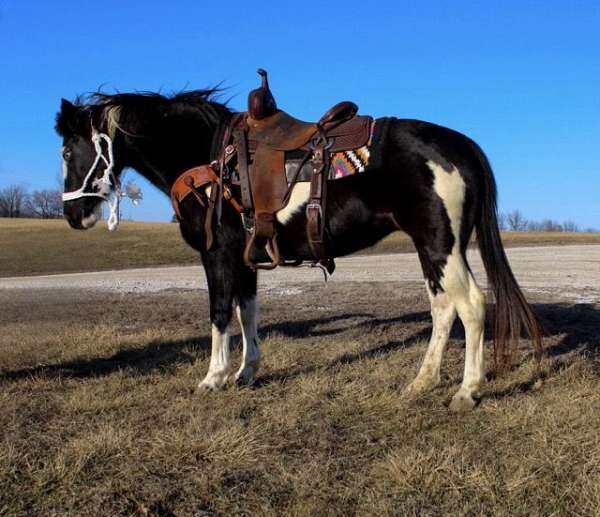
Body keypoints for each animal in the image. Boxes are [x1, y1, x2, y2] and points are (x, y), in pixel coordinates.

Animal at [57, 82, 544, 410]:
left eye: (65, 151)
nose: (73, 216)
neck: (208, 159)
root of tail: (459, 145)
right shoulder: (245, 259)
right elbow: (247, 313)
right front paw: (246, 372)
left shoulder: (217, 255)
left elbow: (219, 314)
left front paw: (214, 377)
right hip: (434, 250)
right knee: (443, 308)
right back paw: (422, 382)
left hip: (442, 246)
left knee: (472, 306)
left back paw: (467, 390)